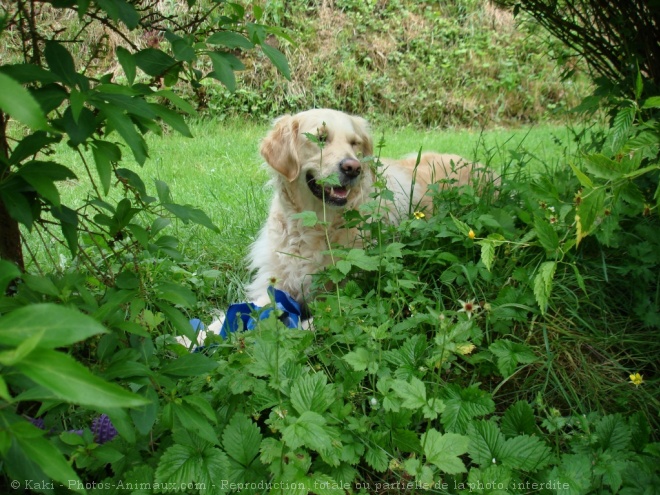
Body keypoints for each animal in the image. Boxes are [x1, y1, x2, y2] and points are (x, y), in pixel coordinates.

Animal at [245, 109, 492, 306]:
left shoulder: (346, 288)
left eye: (354, 143)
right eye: (321, 138)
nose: (353, 168)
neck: (316, 226)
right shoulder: (274, 279)